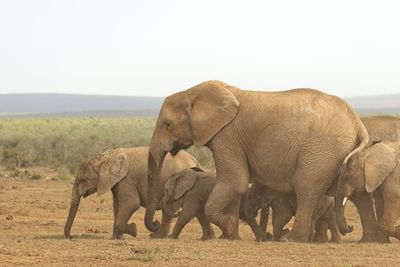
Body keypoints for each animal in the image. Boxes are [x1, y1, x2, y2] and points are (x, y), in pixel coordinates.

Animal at [145, 80, 368, 243]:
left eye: (167, 124)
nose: (154, 225)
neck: (193, 92)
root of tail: (358, 124)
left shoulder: (227, 136)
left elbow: (235, 182)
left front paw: (229, 228)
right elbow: (235, 187)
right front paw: (231, 236)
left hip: (320, 152)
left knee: (306, 189)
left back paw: (289, 239)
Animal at [336, 115, 400, 243]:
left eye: (347, 177)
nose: (350, 226)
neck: (368, 153)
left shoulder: (393, 174)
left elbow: (394, 200)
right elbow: (381, 203)